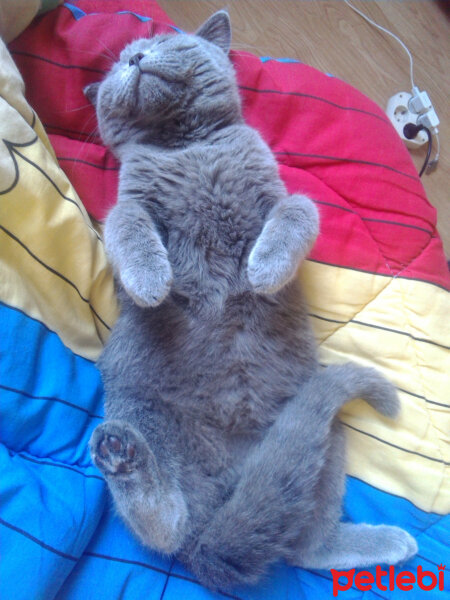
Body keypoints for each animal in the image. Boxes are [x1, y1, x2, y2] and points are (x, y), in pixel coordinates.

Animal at [85, 9, 418, 592]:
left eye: (166, 42)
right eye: (118, 64)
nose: (135, 57)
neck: (187, 147)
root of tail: (224, 502)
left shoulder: (273, 196)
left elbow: (300, 210)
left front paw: (263, 271)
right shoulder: (133, 202)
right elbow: (124, 223)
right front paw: (151, 282)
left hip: (322, 435)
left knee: (302, 546)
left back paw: (387, 543)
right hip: (138, 406)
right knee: (168, 529)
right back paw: (124, 456)